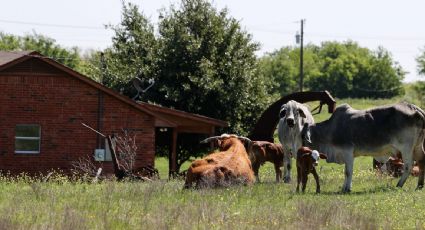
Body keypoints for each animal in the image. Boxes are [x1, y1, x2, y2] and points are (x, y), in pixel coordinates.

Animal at [276, 100, 424, 192]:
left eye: (302, 136)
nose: (296, 151)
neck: (331, 130)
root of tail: (415, 108)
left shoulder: (347, 152)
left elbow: (348, 172)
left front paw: (346, 188)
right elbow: (347, 172)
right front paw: (346, 187)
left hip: (406, 148)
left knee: (408, 166)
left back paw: (399, 184)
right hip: (418, 147)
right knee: (421, 162)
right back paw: (419, 186)